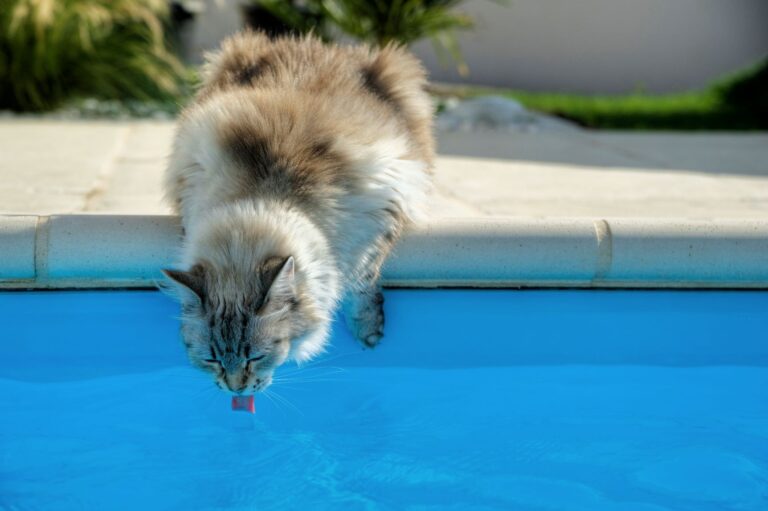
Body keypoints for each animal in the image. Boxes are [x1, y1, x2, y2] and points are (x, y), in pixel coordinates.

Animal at [163, 32, 436, 396]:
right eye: (212, 360)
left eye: (256, 357)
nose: (236, 389)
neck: (265, 195)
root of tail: (318, 43)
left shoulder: (384, 205)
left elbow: (361, 281)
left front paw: (367, 331)